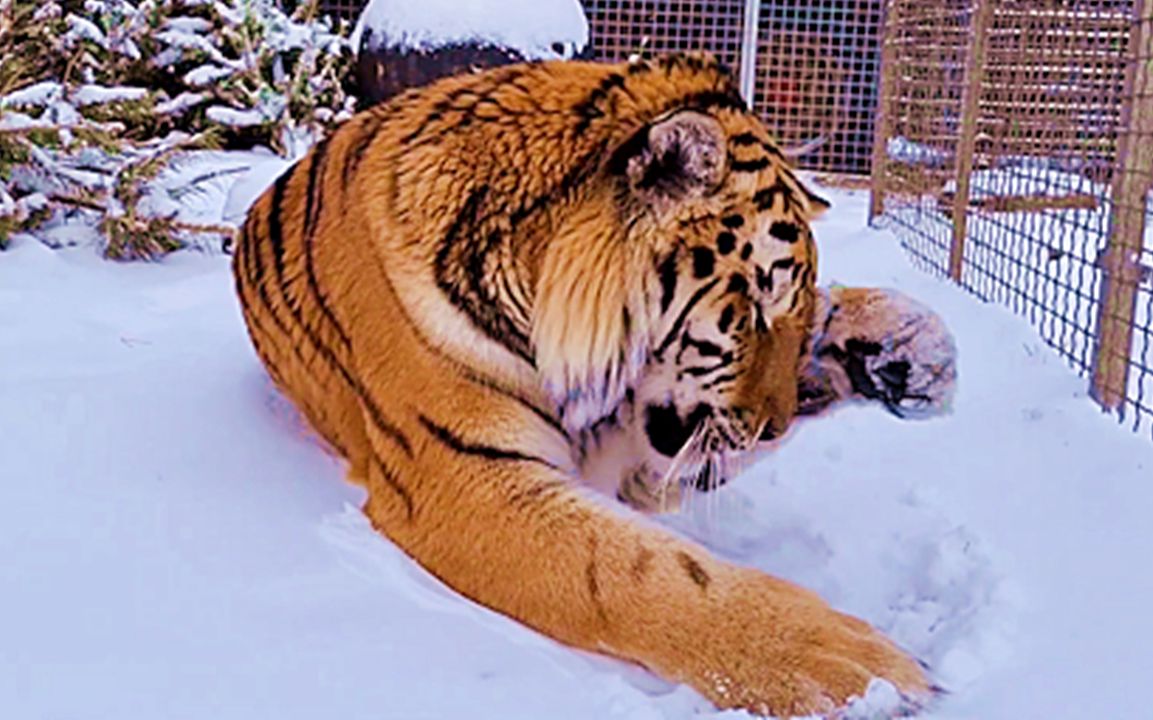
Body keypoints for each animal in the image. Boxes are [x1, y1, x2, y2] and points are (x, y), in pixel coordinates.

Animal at [227, 53, 945, 715]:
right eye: (750, 310)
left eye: (787, 309)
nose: (773, 422)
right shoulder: (465, 478)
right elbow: (642, 570)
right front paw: (853, 669)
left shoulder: (644, 454)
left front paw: (893, 343)